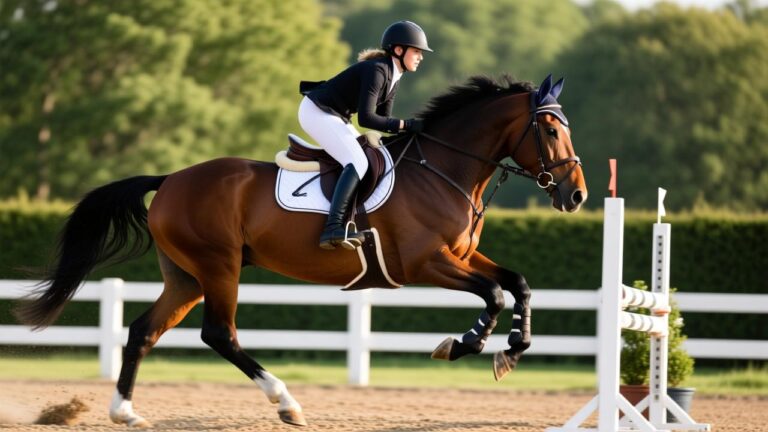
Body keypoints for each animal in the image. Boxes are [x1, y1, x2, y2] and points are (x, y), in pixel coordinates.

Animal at [14, 74, 587, 427]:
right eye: (549, 128)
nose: (576, 195)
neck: (444, 169)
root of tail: (171, 179)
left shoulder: (460, 258)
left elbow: (518, 285)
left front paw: (512, 349)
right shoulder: (427, 263)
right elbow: (493, 295)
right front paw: (463, 344)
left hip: (186, 276)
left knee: (143, 331)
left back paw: (125, 412)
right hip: (218, 266)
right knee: (219, 333)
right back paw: (287, 403)